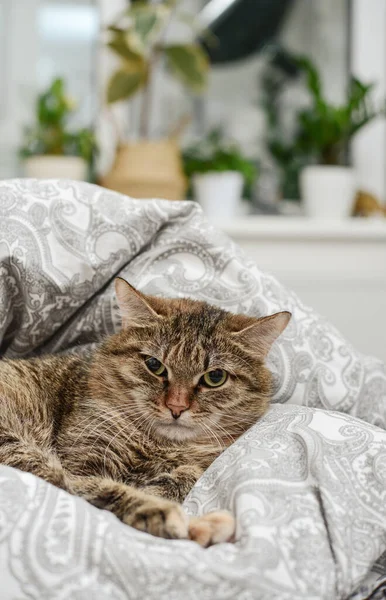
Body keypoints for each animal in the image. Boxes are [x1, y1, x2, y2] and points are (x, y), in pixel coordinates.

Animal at [0, 278, 290, 548]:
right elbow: (89, 486)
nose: (176, 407)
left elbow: (187, 473)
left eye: (215, 377)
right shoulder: (84, 461)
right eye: (154, 365)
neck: (159, 446)